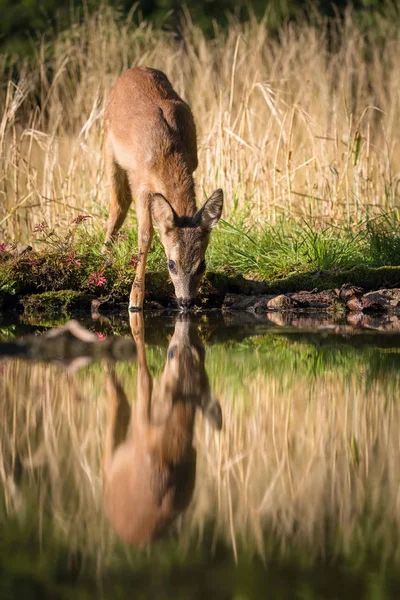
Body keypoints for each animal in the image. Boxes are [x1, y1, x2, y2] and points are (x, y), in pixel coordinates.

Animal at [102, 312, 222, 548]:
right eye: (171, 352)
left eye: (202, 351)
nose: (185, 323)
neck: (170, 447)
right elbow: (145, 376)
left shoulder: (142, 427)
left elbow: (144, 379)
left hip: (112, 462)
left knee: (118, 405)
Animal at [103, 67, 223, 310]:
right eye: (171, 264)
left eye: (202, 265)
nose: (186, 301)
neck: (167, 152)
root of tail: (135, 68)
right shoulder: (140, 181)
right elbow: (145, 234)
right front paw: (135, 299)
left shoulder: (192, 164)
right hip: (108, 148)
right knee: (117, 205)